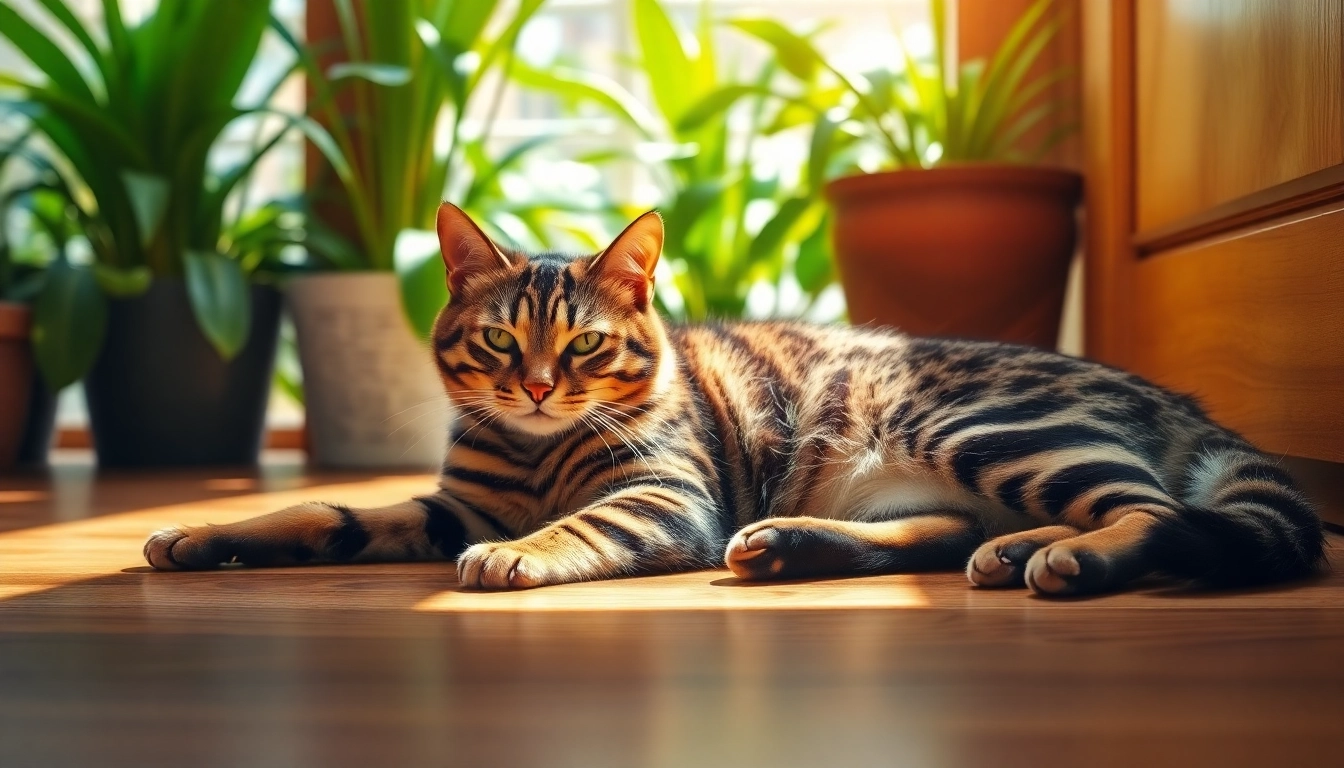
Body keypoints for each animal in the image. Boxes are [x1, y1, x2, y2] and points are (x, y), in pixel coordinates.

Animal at [144, 203, 1322, 594]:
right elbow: (319, 512)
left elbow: (575, 524)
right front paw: (207, 535)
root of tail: (1175, 399)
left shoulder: (665, 497)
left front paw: (522, 553)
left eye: (583, 346)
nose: (536, 389)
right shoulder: (449, 504)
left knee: (1158, 514)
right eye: (499, 342)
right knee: (946, 533)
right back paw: (809, 544)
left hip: (978, 429)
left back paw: (1065, 558)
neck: (531, 456)